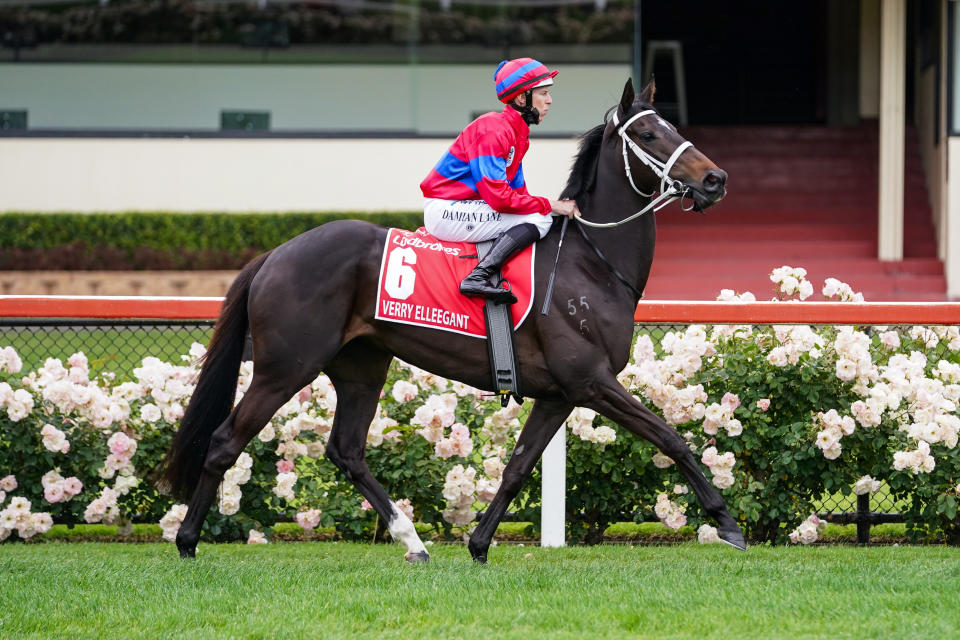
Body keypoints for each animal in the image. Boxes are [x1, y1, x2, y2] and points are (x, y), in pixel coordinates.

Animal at [161, 77, 744, 564]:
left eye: (675, 128)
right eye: (647, 133)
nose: (716, 179)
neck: (593, 262)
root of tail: (275, 254)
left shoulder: (561, 393)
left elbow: (517, 466)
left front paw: (479, 543)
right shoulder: (592, 381)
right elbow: (671, 438)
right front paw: (727, 523)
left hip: (361, 366)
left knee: (346, 451)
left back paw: (412, 541)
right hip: (286, 366)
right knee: (225, 440)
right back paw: (187, 541)